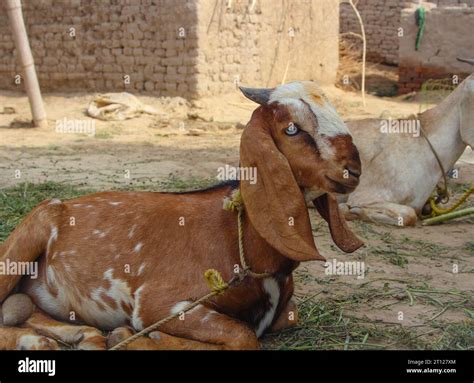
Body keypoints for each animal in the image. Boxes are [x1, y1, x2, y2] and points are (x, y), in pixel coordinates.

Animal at [0, 82, 362, 352]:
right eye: (291, 128)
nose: (354, 169)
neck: (240, 239)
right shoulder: (158, 304)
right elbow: (243, 336)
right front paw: (138, 338)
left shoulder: (284, 312)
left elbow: (285, 318)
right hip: (26, 238)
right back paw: (39, 342)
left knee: (22, 308)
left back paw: (79, 337)